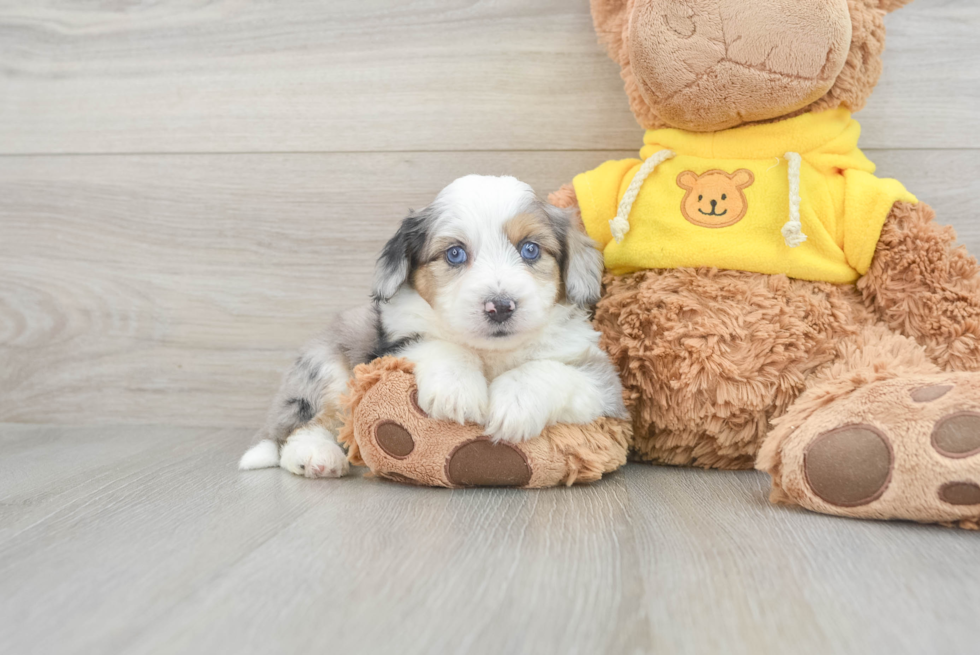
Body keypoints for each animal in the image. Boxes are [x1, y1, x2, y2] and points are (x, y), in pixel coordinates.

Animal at [241, 177, 632, 480]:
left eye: (531, 250)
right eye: (455, 254)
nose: (500, 306)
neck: (492, 353)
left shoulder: (604, 384)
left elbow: (547, 371)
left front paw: (514, 406)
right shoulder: (396, 342)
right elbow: (438, 345)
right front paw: (456, 391)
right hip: (327, 368)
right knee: (301, 426)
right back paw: (316, 456)